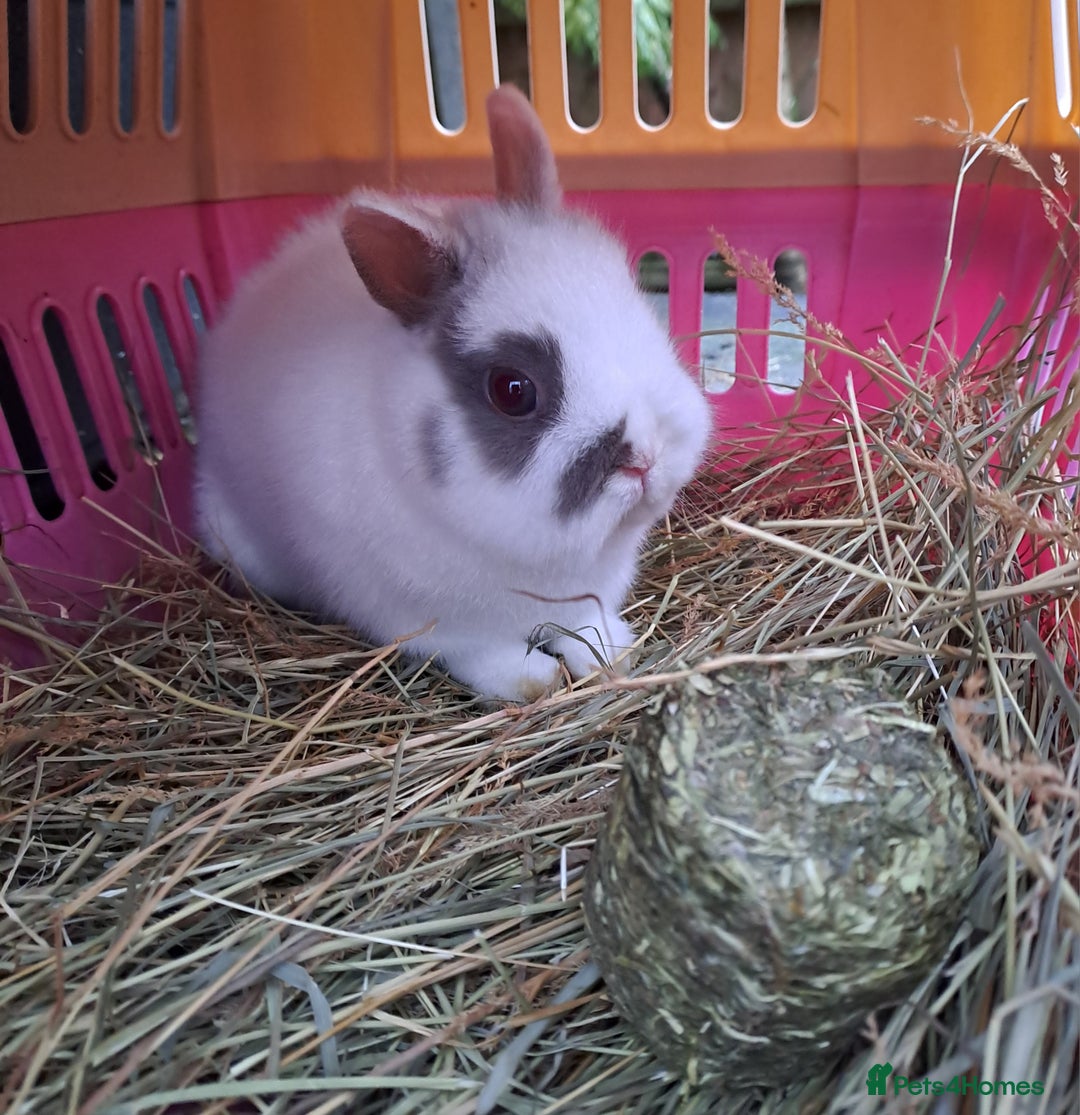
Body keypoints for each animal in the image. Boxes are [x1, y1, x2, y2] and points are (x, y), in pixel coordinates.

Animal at [194, 84, 712, 702]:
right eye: (512, 390)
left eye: (636, 303)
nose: (647, 457)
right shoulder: (439, 627)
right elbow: (492, 659)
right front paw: (537, 682)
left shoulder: (586, 596)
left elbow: (588, 628)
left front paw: (614, 656)